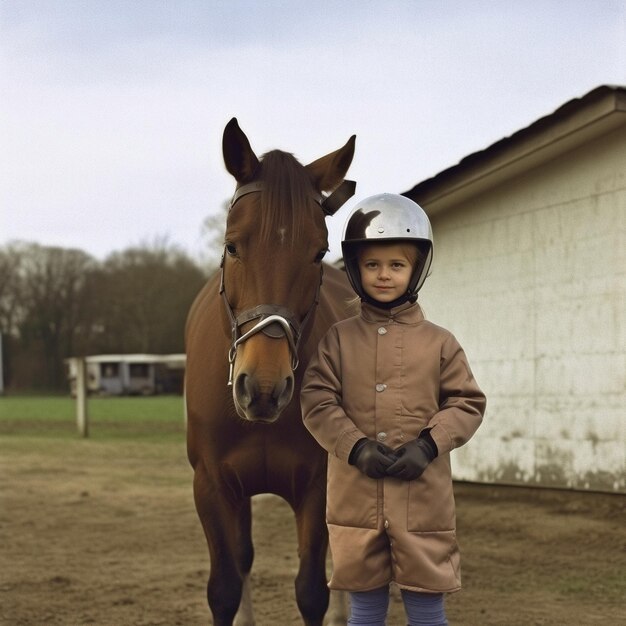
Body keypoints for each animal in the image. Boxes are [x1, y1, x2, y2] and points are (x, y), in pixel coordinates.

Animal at [183, 118, 354, 624]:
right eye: (231, 245)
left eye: (318, 252)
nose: (262, 388)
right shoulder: (213, 486)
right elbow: (225, 586)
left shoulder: (317, 485)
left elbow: (312, 590)